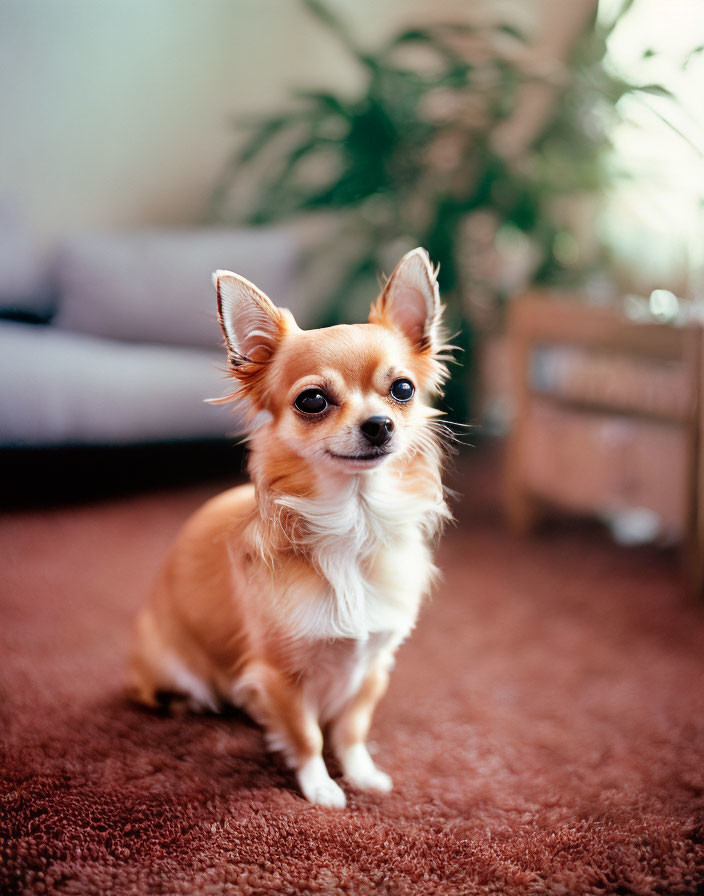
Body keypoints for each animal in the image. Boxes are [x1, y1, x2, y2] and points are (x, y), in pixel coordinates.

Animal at [129, 248, 452, 808]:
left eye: (403, 389)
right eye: (313, 400)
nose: (379, 424)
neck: (354, 521)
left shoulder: (372, 667)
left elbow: (350, 730)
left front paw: (362, 774)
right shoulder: (279, 676)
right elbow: (307, 736)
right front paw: (320, 788)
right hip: (168, 666)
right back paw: (189, 704)